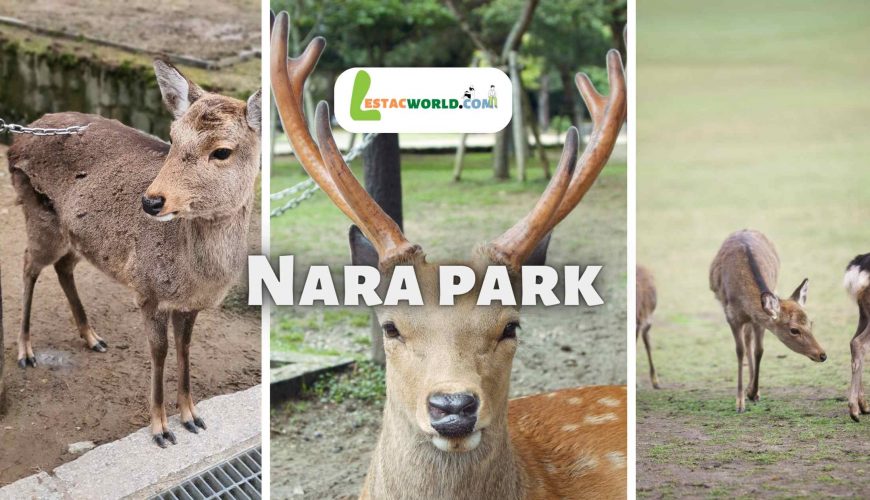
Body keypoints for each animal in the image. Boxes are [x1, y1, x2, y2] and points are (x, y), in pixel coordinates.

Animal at [6, 61, 261, 447]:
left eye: (222, 151)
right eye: (172, 138)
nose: (151, 201)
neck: (197, 277)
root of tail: (19, 136)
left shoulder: (190, 305)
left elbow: (185, 348)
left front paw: (192, 417)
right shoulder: (146, 289)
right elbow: (160, 351)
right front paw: (160, 429)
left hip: (78, 236)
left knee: (63, 266)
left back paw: (92, 337)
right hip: (39, 215)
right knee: (27, 264)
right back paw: (25, 352)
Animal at [709, 229, 826, 413]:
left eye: (811, 323)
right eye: (794, 330)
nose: (822, 355)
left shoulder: (760, 321)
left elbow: (759, 351)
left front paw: (753, 392)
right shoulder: (732, 317)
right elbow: (739, 351)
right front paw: (740, 403)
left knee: (749, 339)